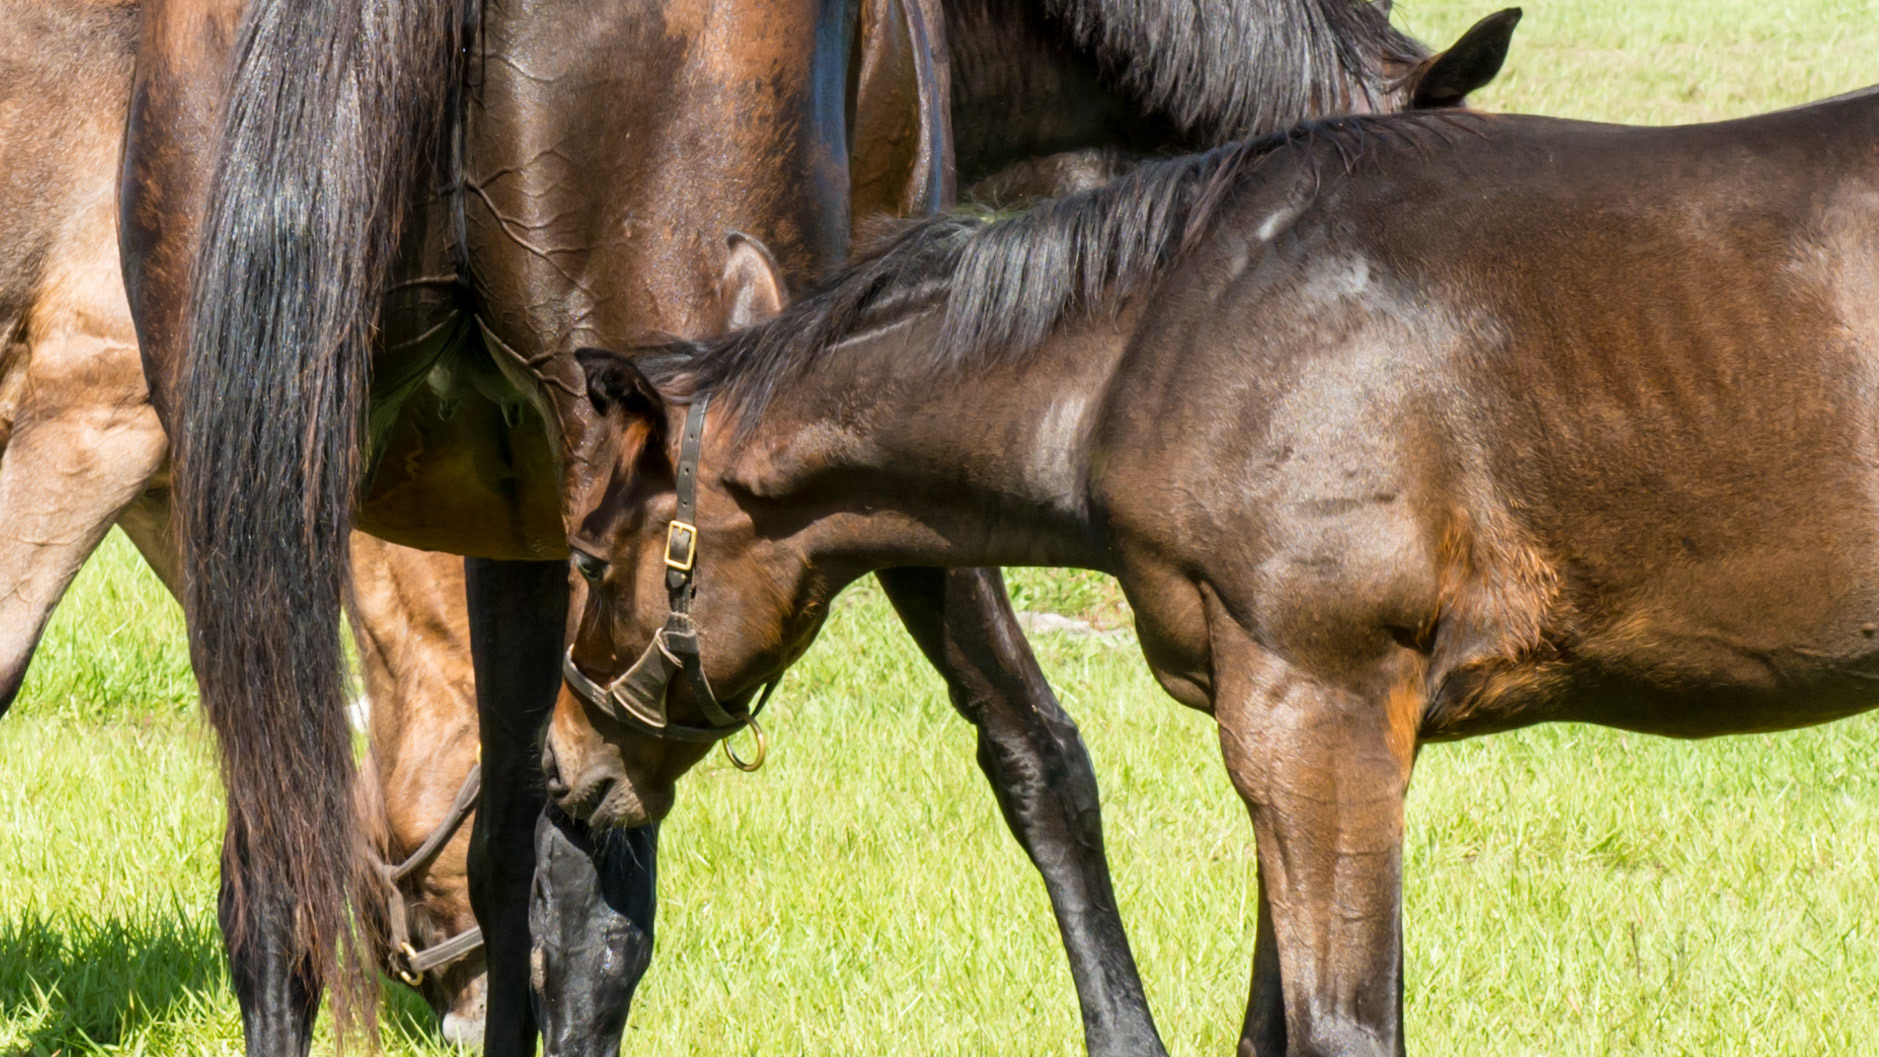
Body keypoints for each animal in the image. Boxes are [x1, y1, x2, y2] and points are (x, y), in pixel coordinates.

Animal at [550, 85, 1879, 1055]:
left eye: (587, 555)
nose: (563, 773)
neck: (1160, 337)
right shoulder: (1291, 732)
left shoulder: (1318, 717)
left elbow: (1344, 1030)